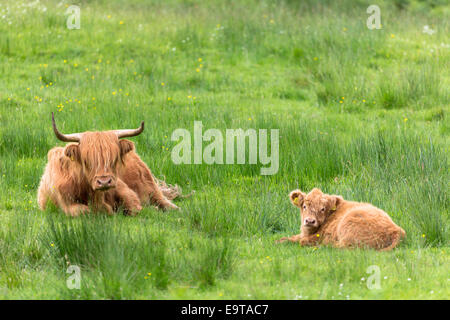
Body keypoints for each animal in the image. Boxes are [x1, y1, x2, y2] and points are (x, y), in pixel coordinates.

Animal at [37, 113, 181, 218]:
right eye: (86, 160)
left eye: (114, 158)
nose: (104, 182)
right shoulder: (66, 204)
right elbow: (83, 211)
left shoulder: (124, 190)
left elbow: (134, 207)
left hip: (149, 186)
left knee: (166, 203)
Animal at [276, 188, 406, 250]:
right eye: (304, 206)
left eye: (322, 209)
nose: (309, 221)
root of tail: (396, 229)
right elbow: (289, 238)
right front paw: (280, 241)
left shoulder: (318, 236)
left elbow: (302, 241)